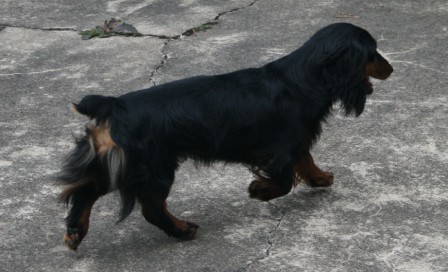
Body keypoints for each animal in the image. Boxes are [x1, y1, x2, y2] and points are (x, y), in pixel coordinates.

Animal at [58, 22, 392, 250]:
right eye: (372, 52)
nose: (391, 68)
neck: (303, 79)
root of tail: (115, 105)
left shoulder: (294, 143)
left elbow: (306, 160)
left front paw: (320, 178)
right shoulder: (280, 148)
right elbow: (284, 181)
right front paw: (260, 190)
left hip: (120, 165)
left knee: (87, 192)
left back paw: (75, 231)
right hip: (152, 166)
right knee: (151, 208)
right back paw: (182, 229)